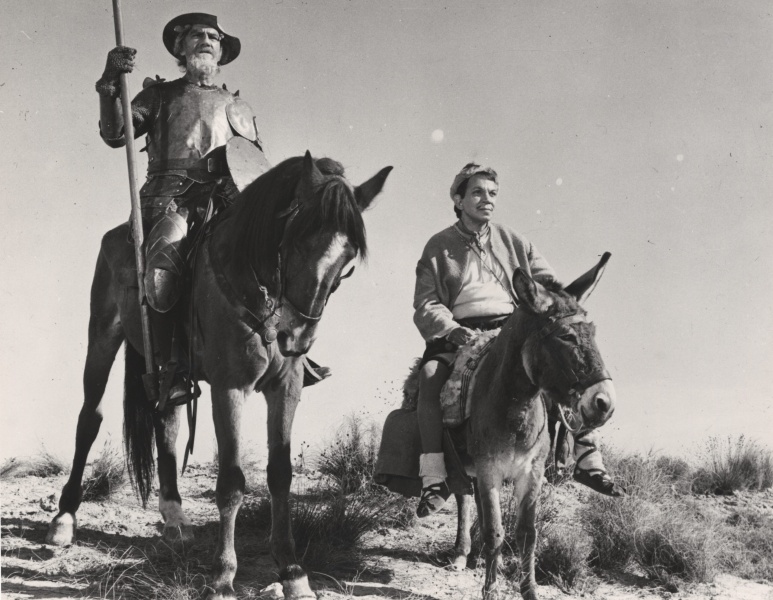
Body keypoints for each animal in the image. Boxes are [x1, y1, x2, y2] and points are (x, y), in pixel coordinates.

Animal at [46, 152, 392, 600]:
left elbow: (280, 475)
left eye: (346, 264)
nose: (295, 339)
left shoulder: (286, 389)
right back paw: (64, 519)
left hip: (167, 371)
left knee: (167, 421)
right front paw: (223, 577)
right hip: (103, 335)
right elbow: (231, 481)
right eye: (297, 240)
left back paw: (174, 517)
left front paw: (292, 570)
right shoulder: (229, 388)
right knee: (89, 419)